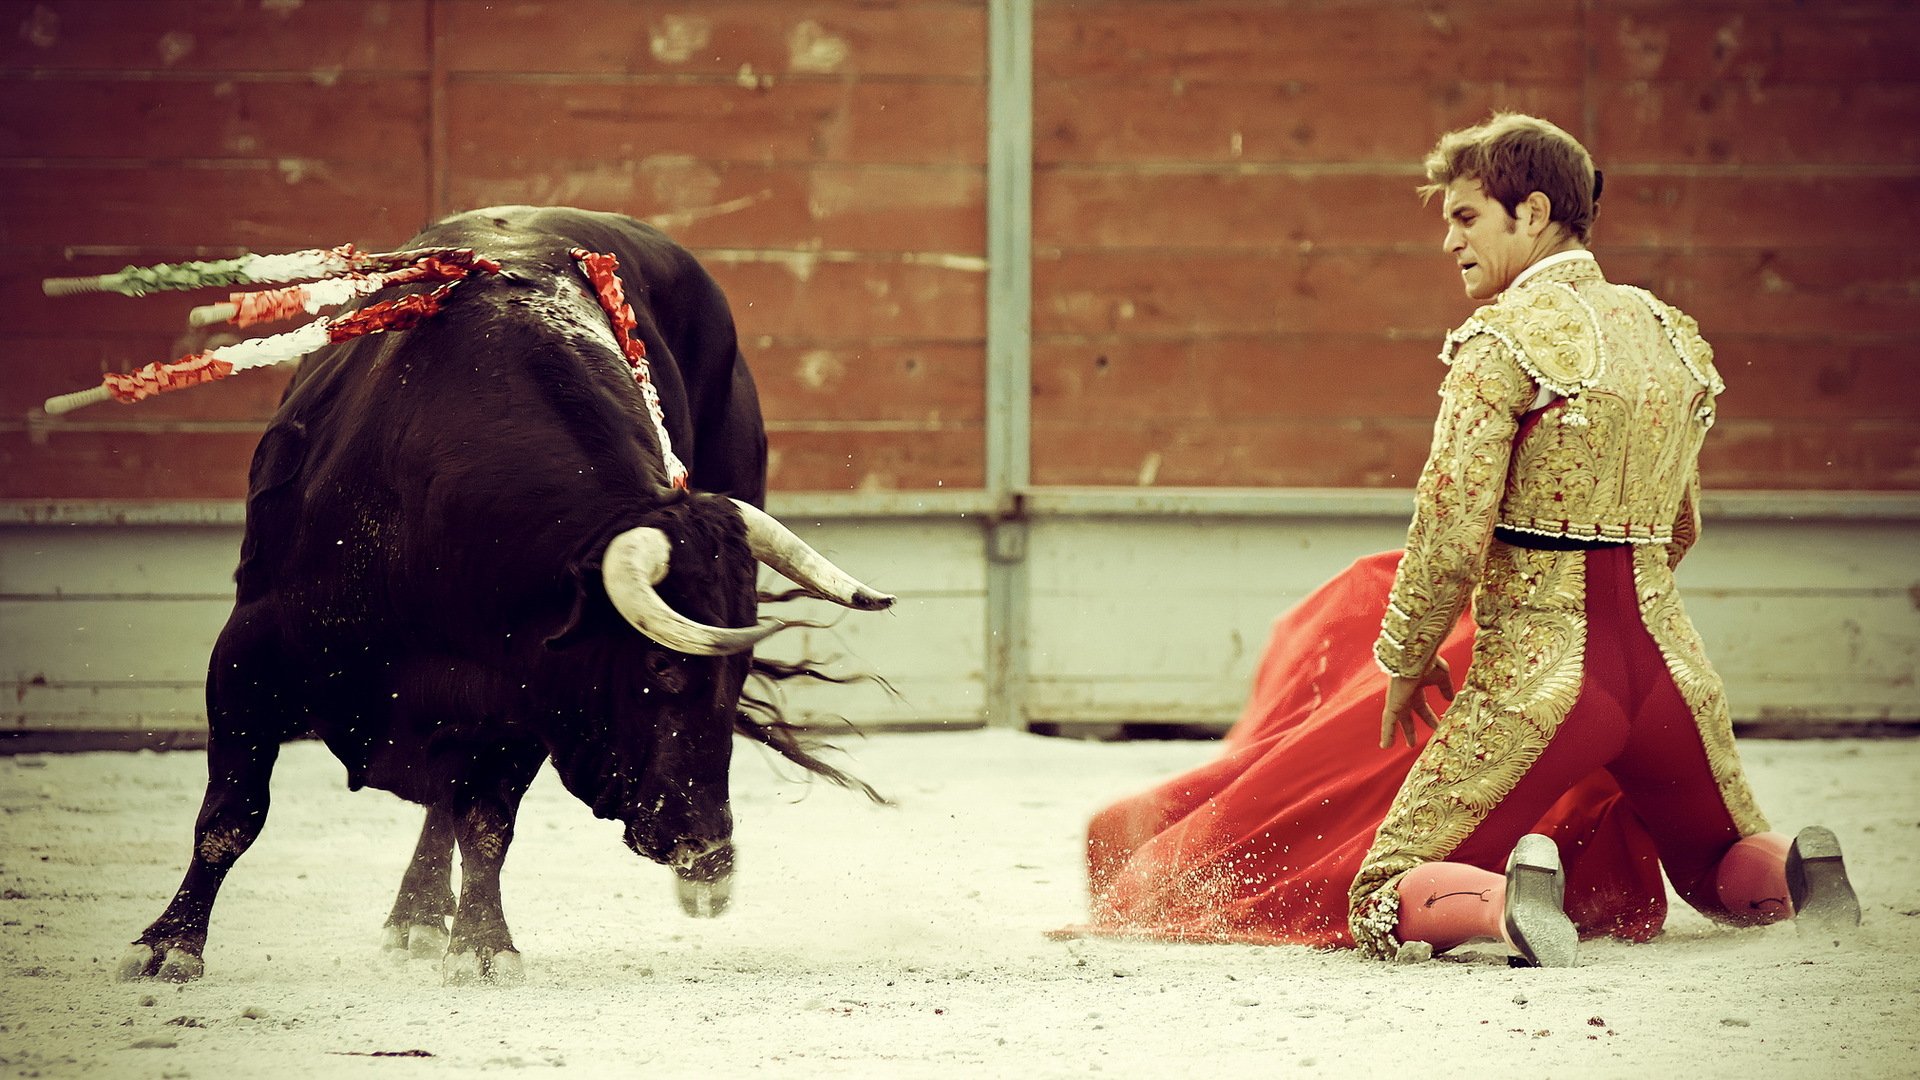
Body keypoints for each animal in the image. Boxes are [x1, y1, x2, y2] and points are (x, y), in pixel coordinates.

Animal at [118, 205, 890, 980]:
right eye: (663, 667)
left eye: (736, 675)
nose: (707, 852)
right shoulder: (247, 654)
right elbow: (232, 812)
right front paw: (170, 943)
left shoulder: (520, 694)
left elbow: (486, 824)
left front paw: (484, 947)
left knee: (448, 807)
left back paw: (419, 914)